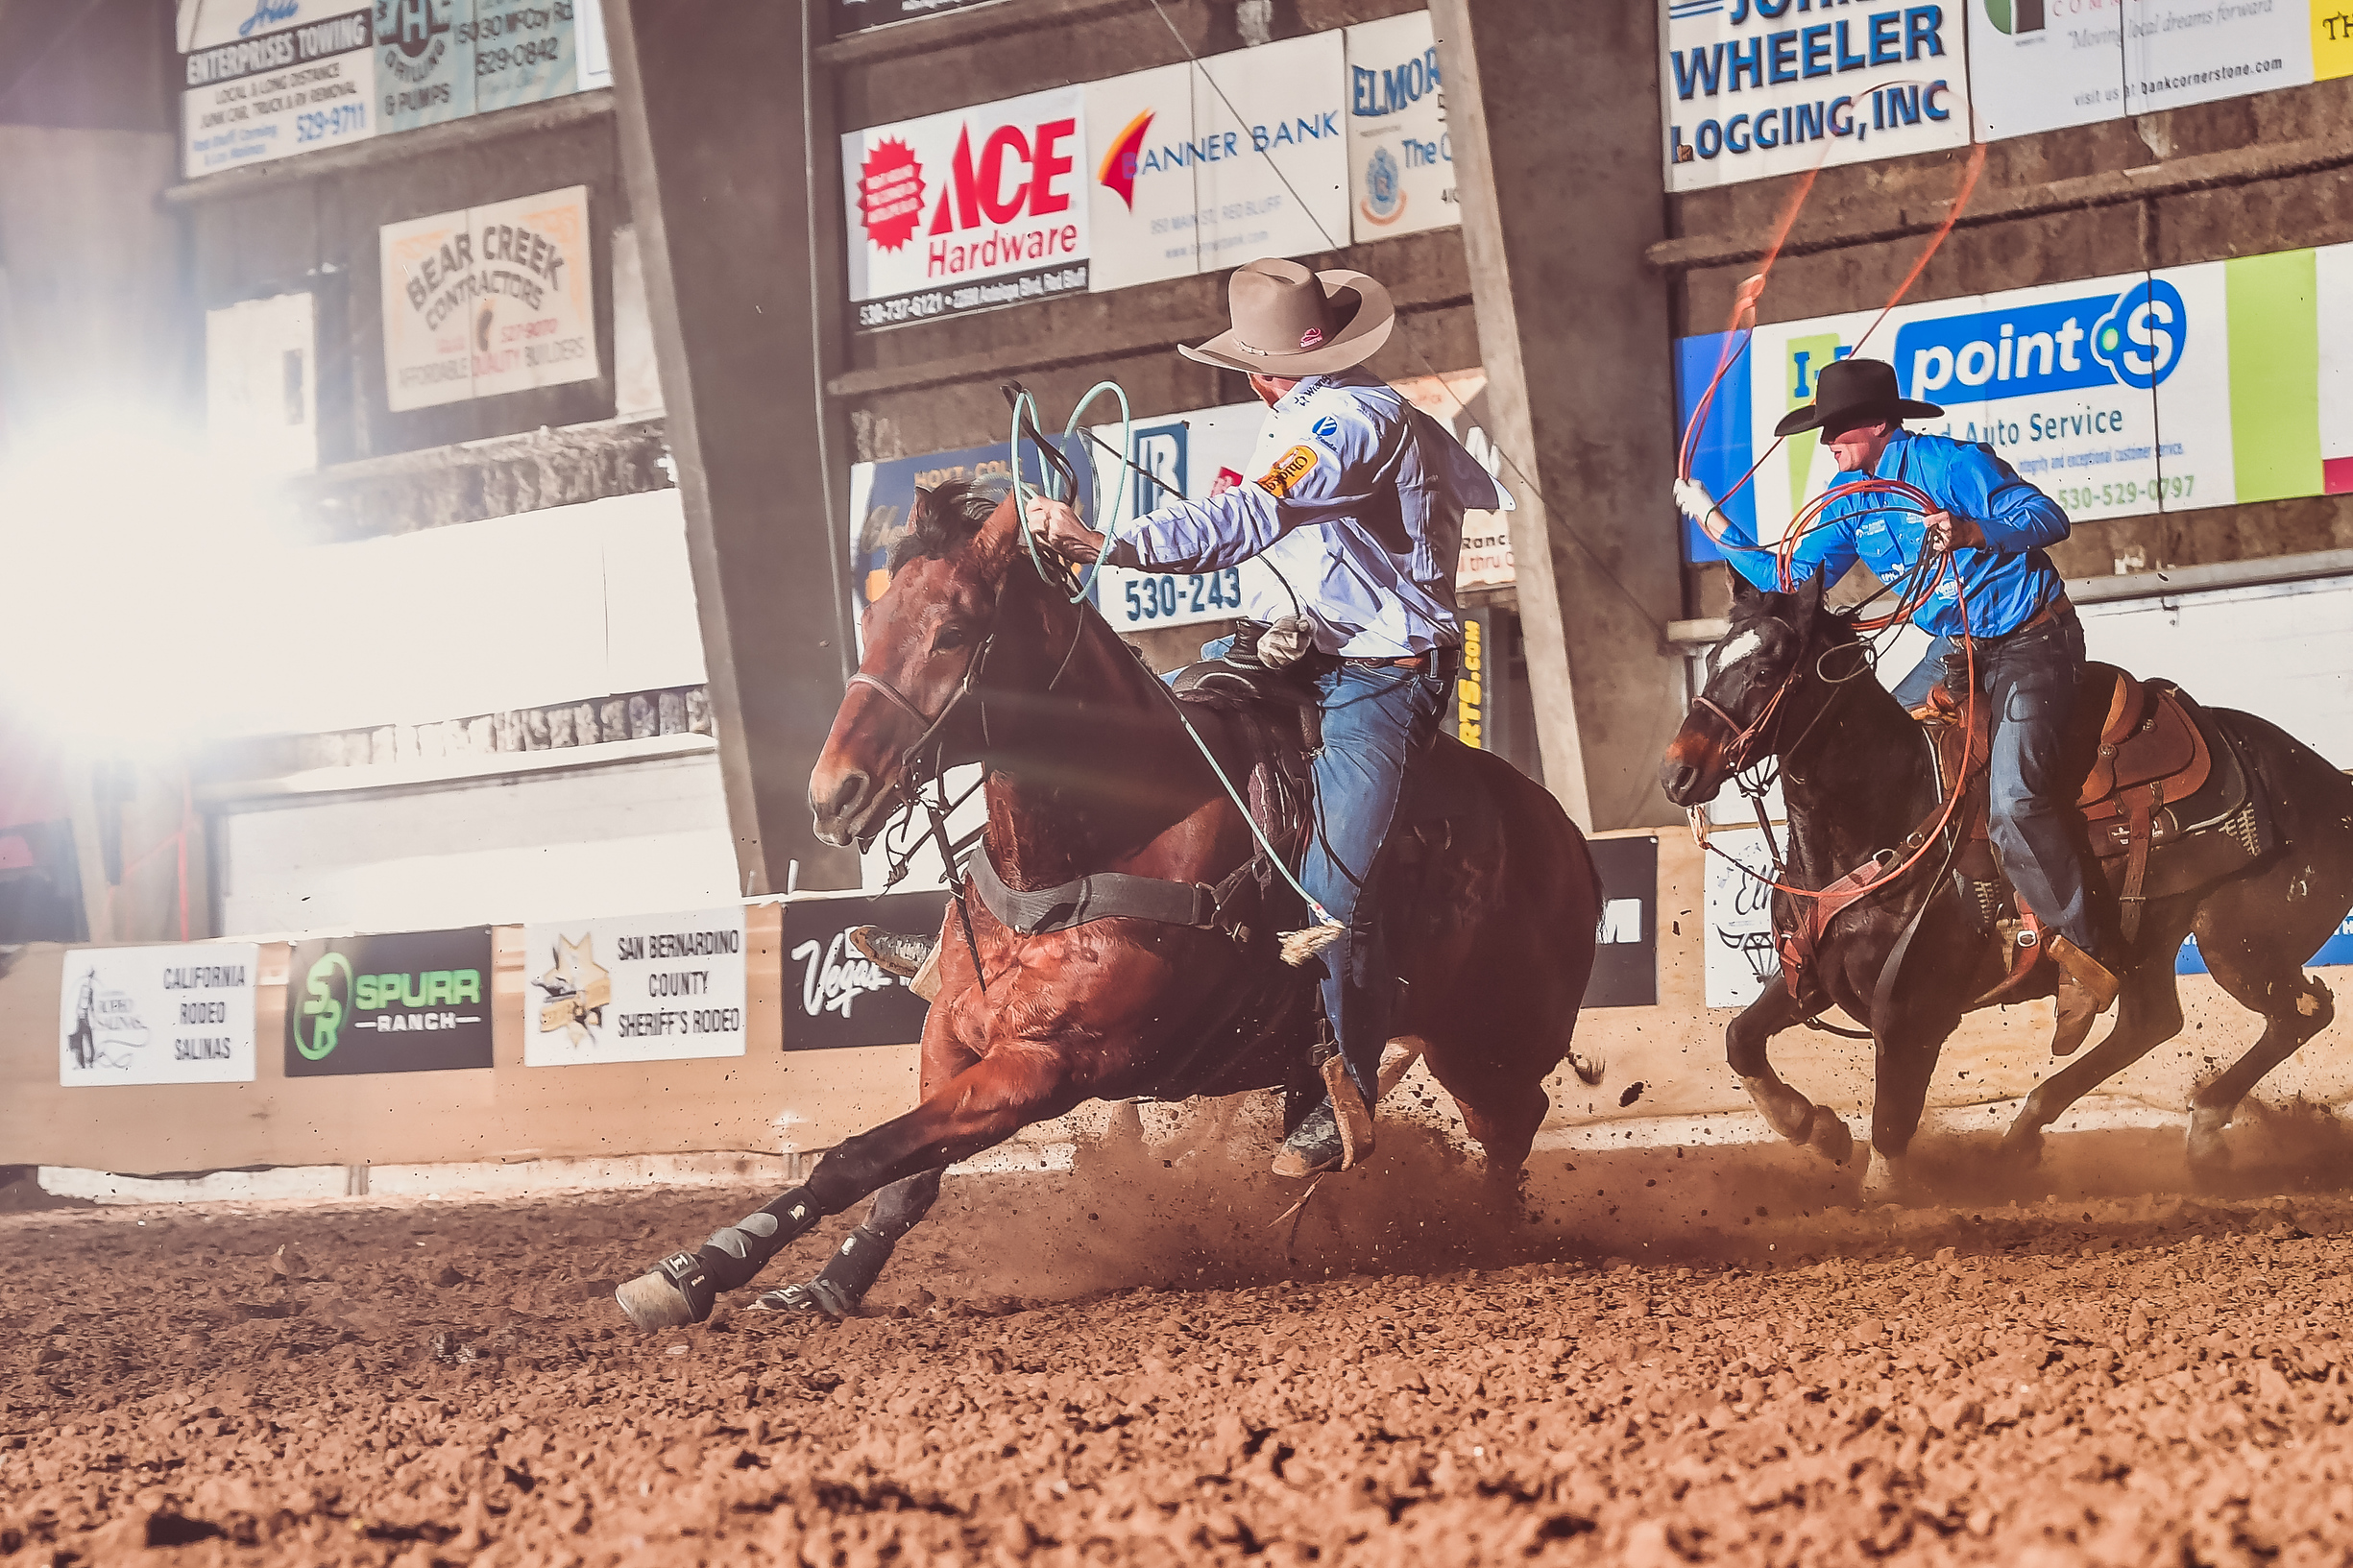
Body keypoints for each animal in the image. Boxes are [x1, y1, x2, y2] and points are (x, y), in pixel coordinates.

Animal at [612, 484, 1600, 1335]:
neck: (1092, 851)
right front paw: (810, 1283)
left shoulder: (1045, 1067)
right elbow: (904, 1175)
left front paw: (692, 1272)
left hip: (1488, 1048)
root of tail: (1563, 836)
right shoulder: (953, 1034)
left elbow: (860, 1152)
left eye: (953, 630)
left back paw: (1482, 1230)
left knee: (1512, 1127)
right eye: (873, 626)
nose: (834, 794)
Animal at [1656, 570, 2353, 1194]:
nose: (1676, 774)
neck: (1893, 813)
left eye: (1767, 670)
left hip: (2238, 942)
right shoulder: (1815, 977)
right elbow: (1741, 1039)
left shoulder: (1913, 1013)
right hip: (2153, 939)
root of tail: (2332, 786)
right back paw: (2023, 1136)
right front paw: (1817, 1129)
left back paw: (2201, 1132)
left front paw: (1885, 1188)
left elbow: (1891, 1126)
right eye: (1714, 657)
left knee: (2298, 1013)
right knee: (2152, 1021)